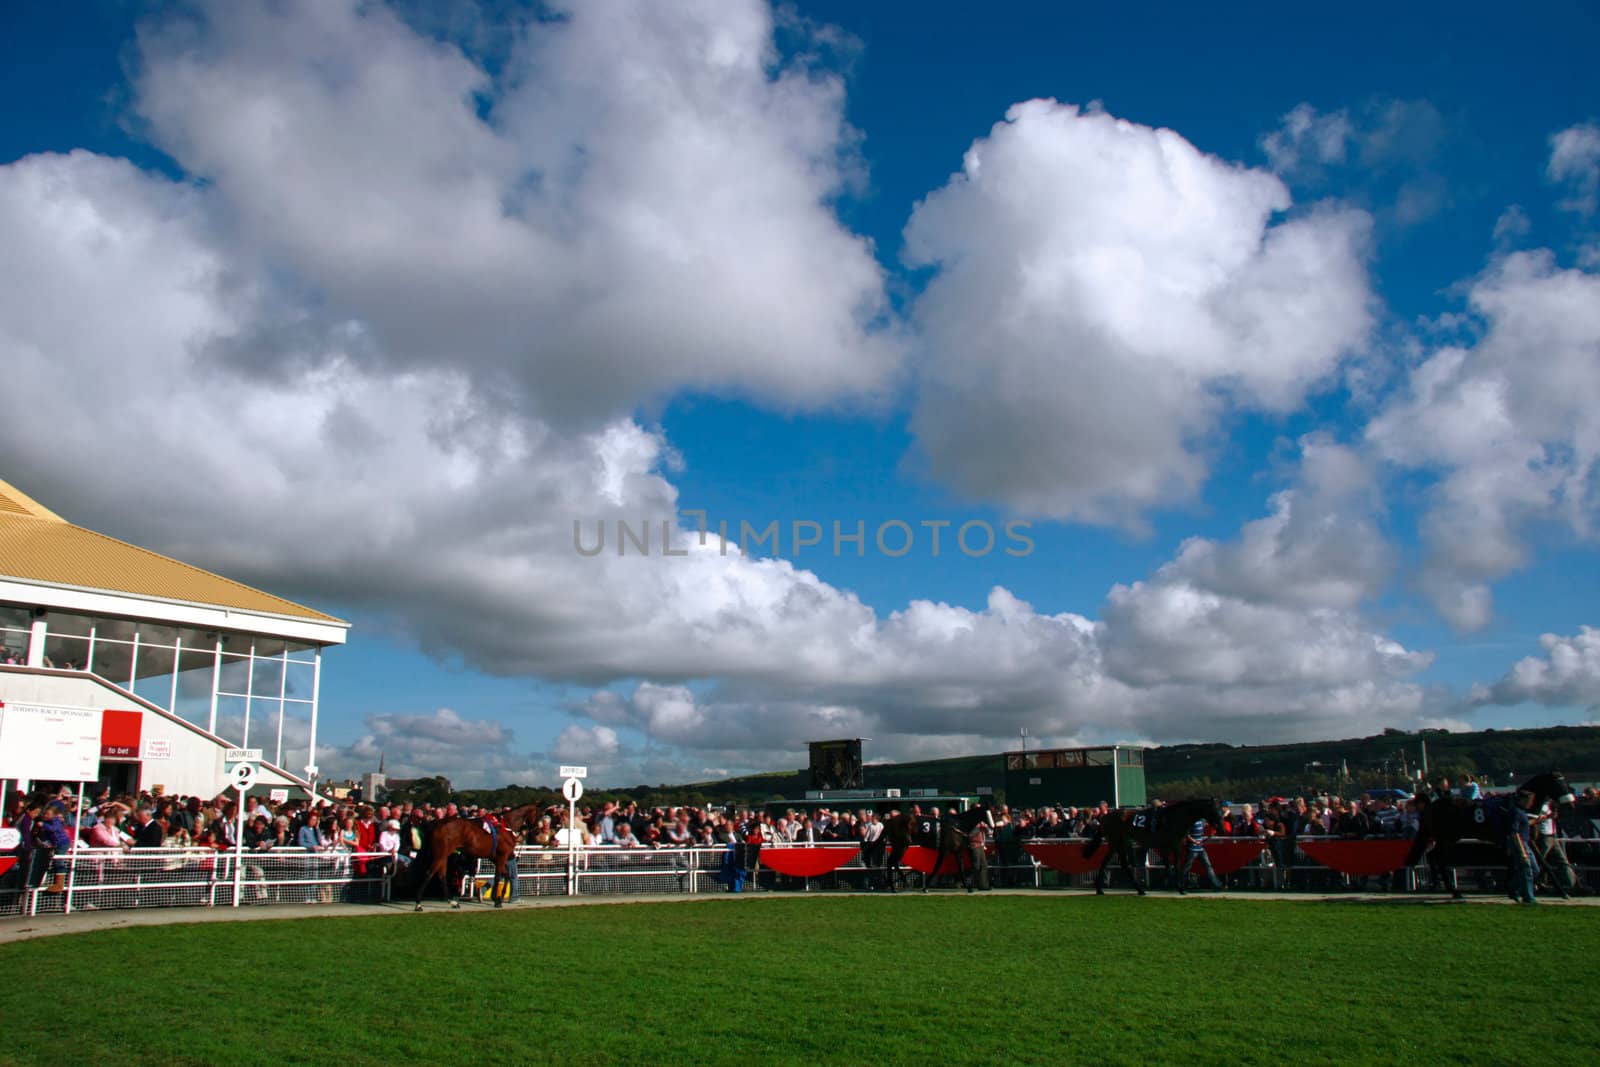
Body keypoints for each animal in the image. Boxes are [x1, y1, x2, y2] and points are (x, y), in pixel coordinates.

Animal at [1088, 796, 1222, 895]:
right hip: (1118, 842)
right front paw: (1159, 885)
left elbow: (1176, 866)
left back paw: (1100, 889)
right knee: (1122, 864)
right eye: (1214, 811)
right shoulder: (1164, 846)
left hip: (1116, 843)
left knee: (1106, 862)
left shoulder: (1176, 845)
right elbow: (1169, 869)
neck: (1175, 818)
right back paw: (1139, 889)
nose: (1220, 828)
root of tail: (1105, 817)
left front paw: (1180, 888)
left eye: (1220, 810)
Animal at [1414, 767, 1574, 902]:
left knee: (1432, 856)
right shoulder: (1517, 838)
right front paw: (1560, 891)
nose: (1570, 805)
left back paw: (1437, 884)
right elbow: (1534, 863)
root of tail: (1431, 804)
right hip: (1448, 838)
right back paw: (1453, 891)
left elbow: (1534, 863)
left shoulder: (1525, 840)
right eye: (1559, 784)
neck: (1520, 806)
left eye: (1567, 784)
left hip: (1447, 838)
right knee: (1438, 858)